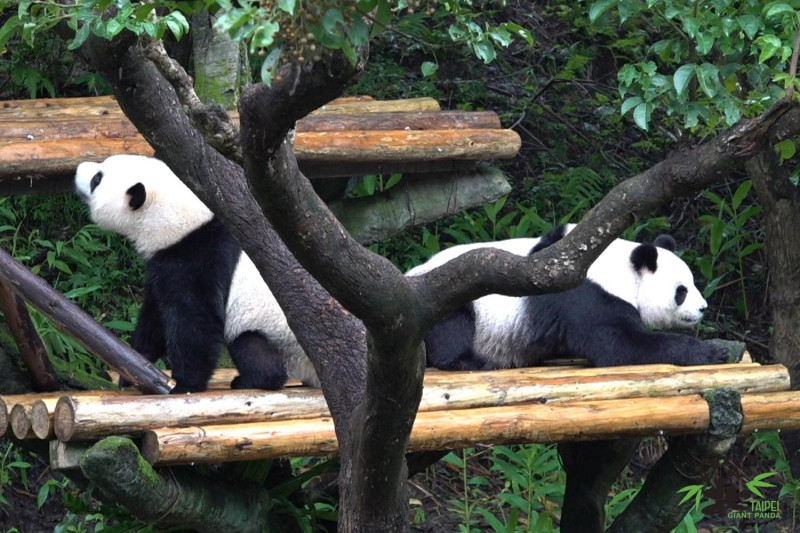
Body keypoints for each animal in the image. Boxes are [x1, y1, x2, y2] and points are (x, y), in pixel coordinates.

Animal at [75, 153, 318, 390]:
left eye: (97, 179)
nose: (78, 169)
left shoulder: (197, 257)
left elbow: (195, 320)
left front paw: (185, 385)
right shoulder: (165, 263)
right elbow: (155, 317)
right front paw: (131, 371)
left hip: (278, 337)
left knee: (251, 346)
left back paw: (249, 380)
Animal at [410, 224, 728, 370]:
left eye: (693, 284)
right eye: (681, 291)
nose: (703, 308)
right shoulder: (585, 298)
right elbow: (621, 347)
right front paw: (711, 351)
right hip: (445, 298)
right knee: (452, 328)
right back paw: (471, 362)